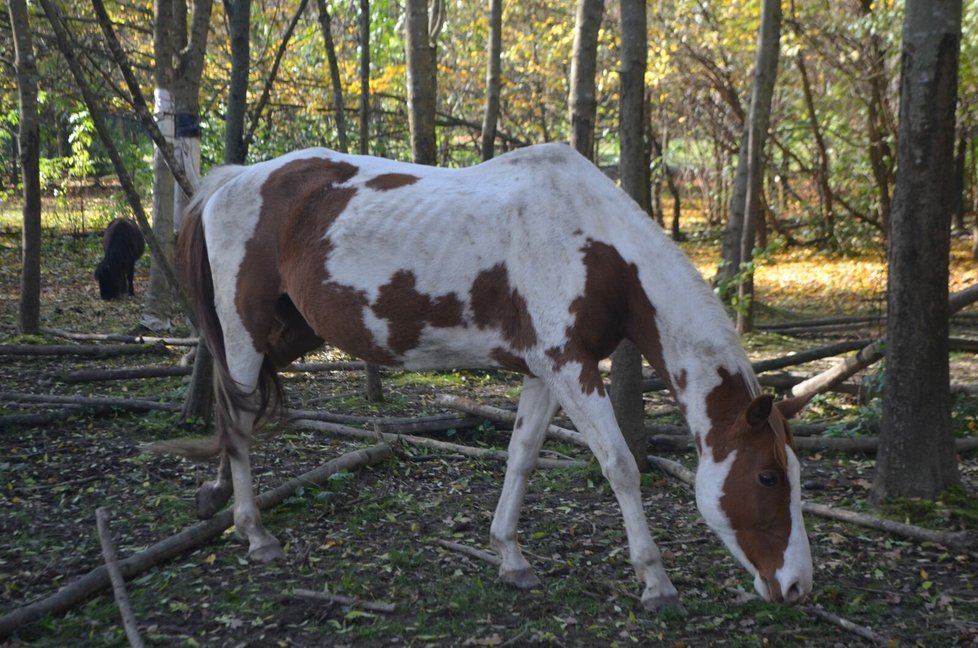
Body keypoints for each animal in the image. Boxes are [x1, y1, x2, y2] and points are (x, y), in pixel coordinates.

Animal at [164, 143, 812, 612]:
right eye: (767, 476)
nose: (799, 586)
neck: (594, 245)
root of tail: (233, 180)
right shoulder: (571, 367)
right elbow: (621, 466)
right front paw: (656, 583)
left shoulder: (546, 371)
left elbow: (521, 456)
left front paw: (510, 557)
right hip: (246, 330)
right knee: (239, 420)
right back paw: (254, 533)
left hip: (286, 334)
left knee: (236, 410)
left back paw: (216, 497)